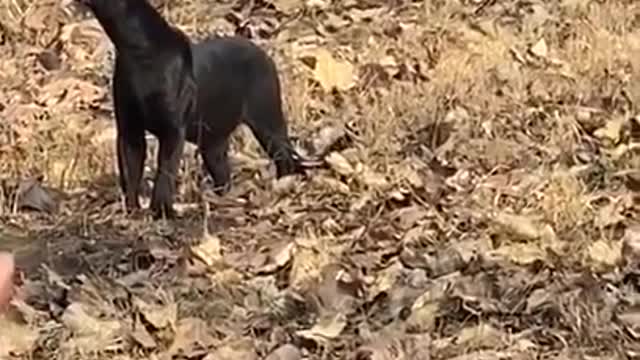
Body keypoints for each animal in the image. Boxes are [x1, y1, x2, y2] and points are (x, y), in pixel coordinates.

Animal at [76, 0, 306, 219]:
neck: (135, 52)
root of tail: (263, 53)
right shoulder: (129, 129)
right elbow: (130, 171)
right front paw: (132, 210)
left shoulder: (172, 129)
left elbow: (165, 170)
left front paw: (161, 211)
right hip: (212, 143)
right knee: (224, 174)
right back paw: (222, 199)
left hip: (267, 121)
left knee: (284, 156)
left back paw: (283, 187)